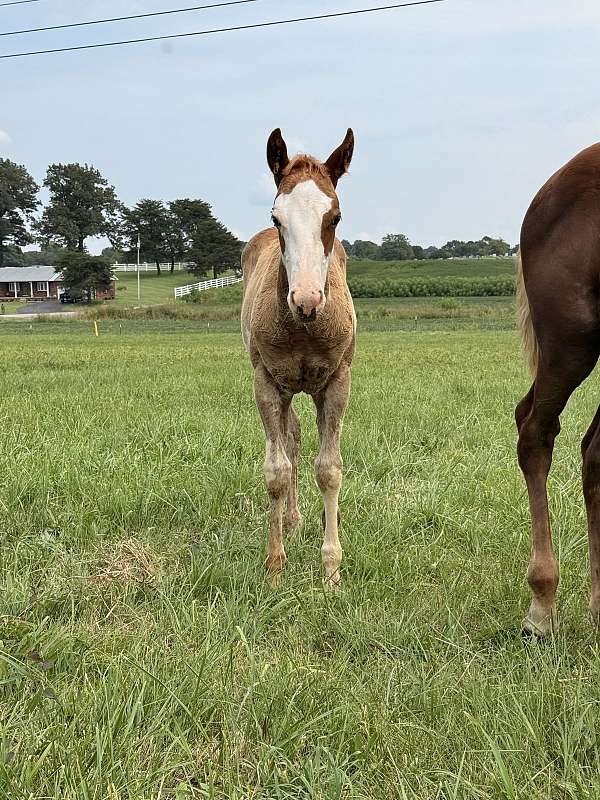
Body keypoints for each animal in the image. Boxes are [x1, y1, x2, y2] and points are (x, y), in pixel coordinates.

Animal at [241, 128, 356, 587]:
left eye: (335, 218)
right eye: (277, 218)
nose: (306, 300)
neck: (304, 329)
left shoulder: (338, 381)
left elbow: (329, 469)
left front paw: (332, 570)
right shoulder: (267, 383)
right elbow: (277, 469)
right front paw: (274, 566)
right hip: (286, 388)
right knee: (289, 441)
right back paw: (291, 521)